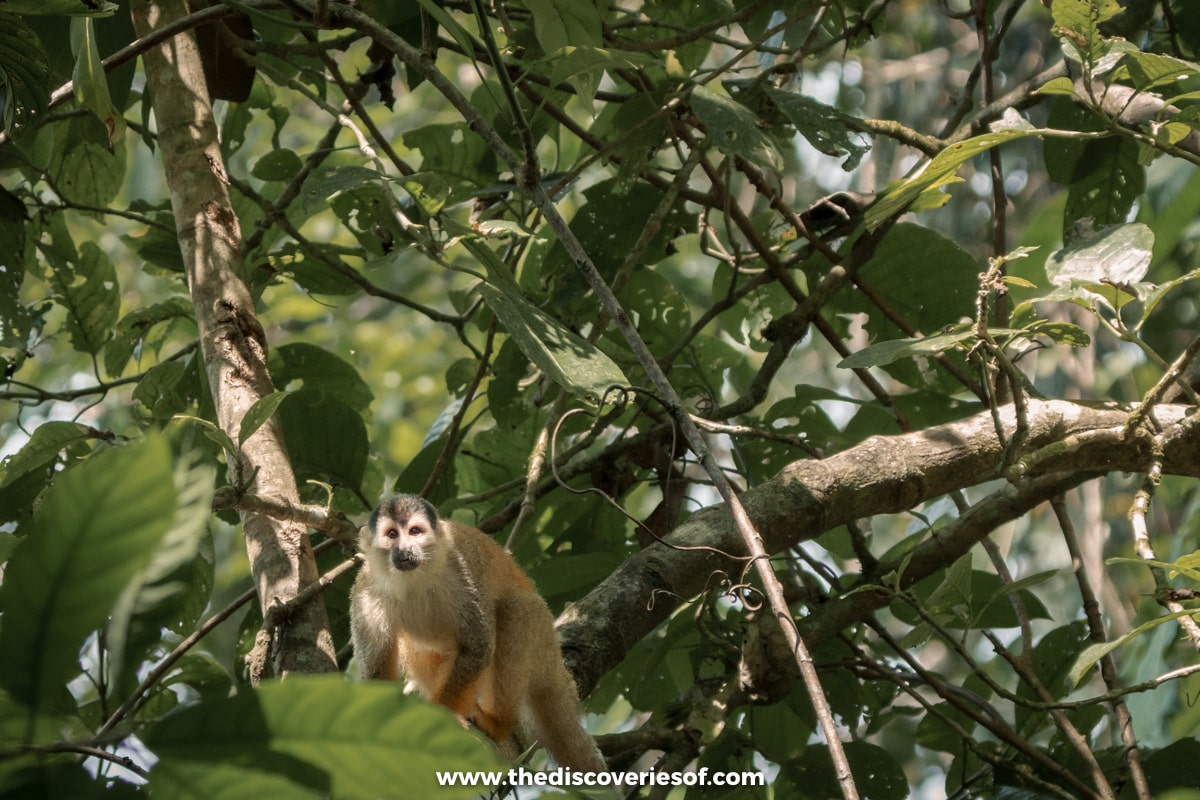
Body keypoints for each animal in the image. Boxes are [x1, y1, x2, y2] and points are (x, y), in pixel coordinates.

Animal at [350, 491, 604, 772]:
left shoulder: (462, 569)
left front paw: (442, 716)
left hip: (543, 641)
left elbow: (478, 647)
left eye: (415, 531)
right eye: (392, 534)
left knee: (516, 611)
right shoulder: (366, 591)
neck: (413, 579)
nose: (404, 550)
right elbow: (377, 672)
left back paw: (500, 723)